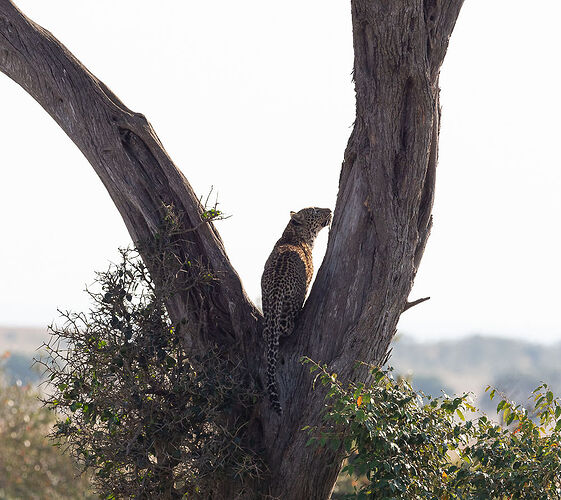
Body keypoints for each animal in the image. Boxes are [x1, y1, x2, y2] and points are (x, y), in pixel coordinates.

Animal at [260, 207, 330, 414]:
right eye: (315, 211)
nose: (330, 210)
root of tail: (277, 284)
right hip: (292, 301)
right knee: (285, 327)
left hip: (267, 302)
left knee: (268, 331)